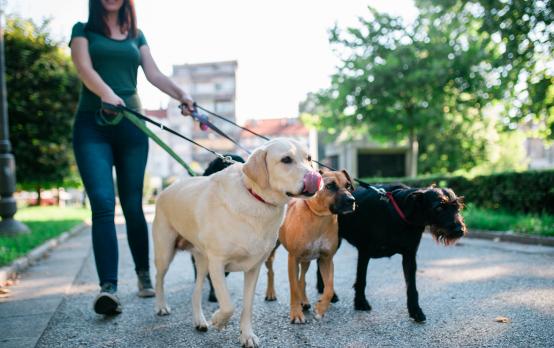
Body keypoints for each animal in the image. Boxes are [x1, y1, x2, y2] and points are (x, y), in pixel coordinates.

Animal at [264, 169, 354, 324]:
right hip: (272, 252)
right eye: (330, 186)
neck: (319, 217)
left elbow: (329, 288)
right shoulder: (293, 258)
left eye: (348, 185)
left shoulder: (326, 259)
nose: (351, 200)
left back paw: (304, 301)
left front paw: (321, 309)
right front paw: (296, 314)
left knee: (303, 279)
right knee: (271, 272)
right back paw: (271, 293)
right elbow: (293, 287)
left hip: (306, 259)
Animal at [316, 184, 464, 322]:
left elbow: (412, 287)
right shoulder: (364, 252)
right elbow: (361, 280)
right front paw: (361, 302)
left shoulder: (409, 256)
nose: (460, 230)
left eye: (457, 207)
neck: (400, 213)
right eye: (439, 207)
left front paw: (415, 311)